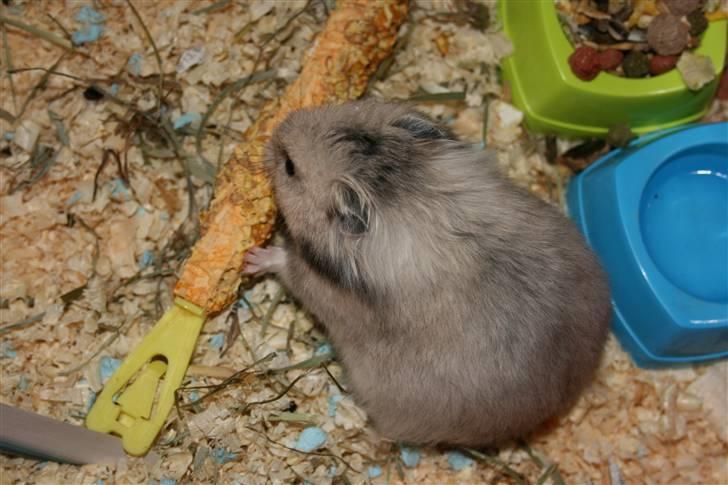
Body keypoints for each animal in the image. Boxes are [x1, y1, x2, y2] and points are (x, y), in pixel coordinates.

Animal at [244, 99, 611, 447]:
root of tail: (552, 408)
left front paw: (254, 257)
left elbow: (289, 266)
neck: (408, 195)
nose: (278, 128)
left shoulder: (321, 287)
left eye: (290, 167)